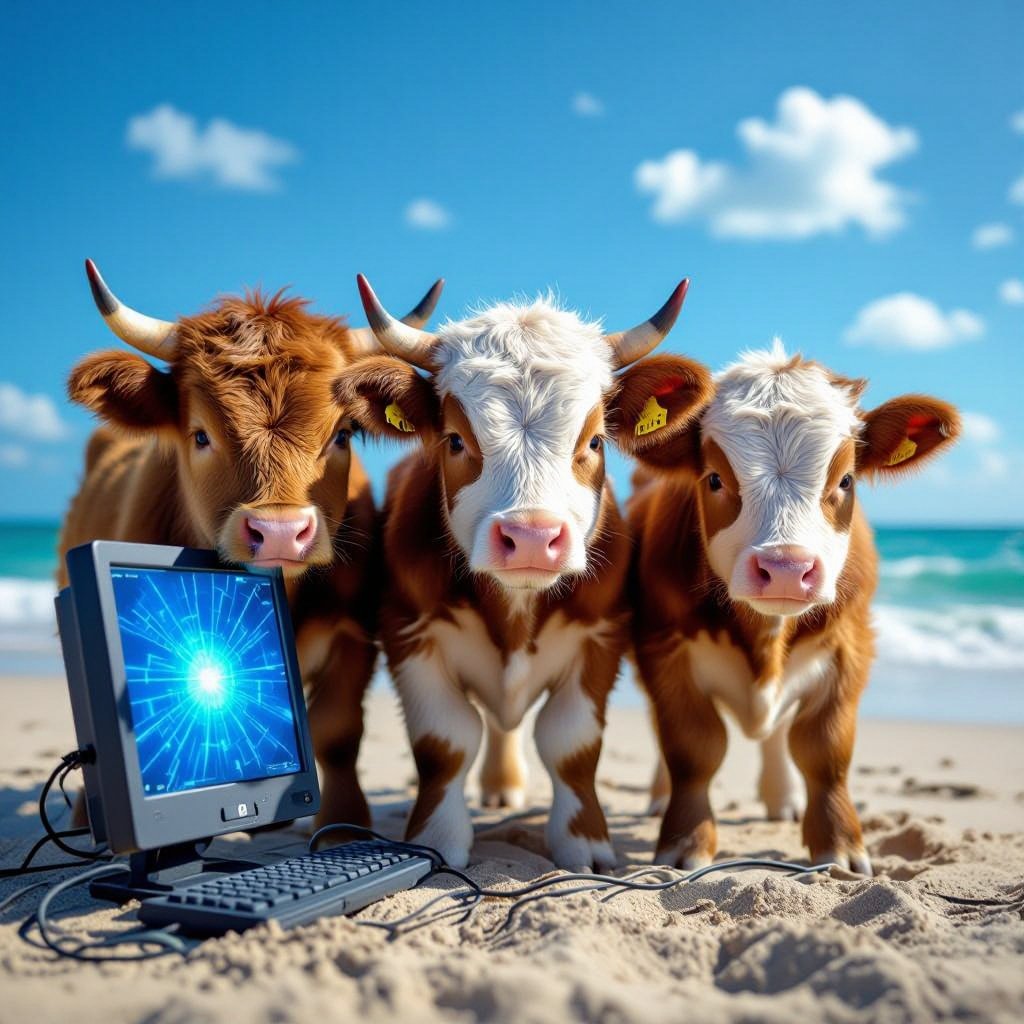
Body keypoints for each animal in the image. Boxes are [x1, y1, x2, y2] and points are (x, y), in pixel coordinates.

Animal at [59, 259, 443, 829]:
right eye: (200, 435)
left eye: (343, 434)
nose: (280, 531)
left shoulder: (353, 634)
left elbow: (336, 732)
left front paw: (340, 824)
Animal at [333, 274, 714, 869]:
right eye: (455, 440)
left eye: (595, 441)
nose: (532, 536)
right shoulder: (408, 632)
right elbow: (445, 741)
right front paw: (437, 839)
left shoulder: (601, 637)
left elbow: (570, 743)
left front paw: (584, 843)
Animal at [627, 341, 961, 874]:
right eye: (714, 479)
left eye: (846, 480)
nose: (785, 568)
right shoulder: (664, 648)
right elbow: (693, 747)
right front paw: (685, 843)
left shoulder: (850, 646)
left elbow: (824, 749)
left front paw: (840, 846)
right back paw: (661, 796)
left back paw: (781, 798)